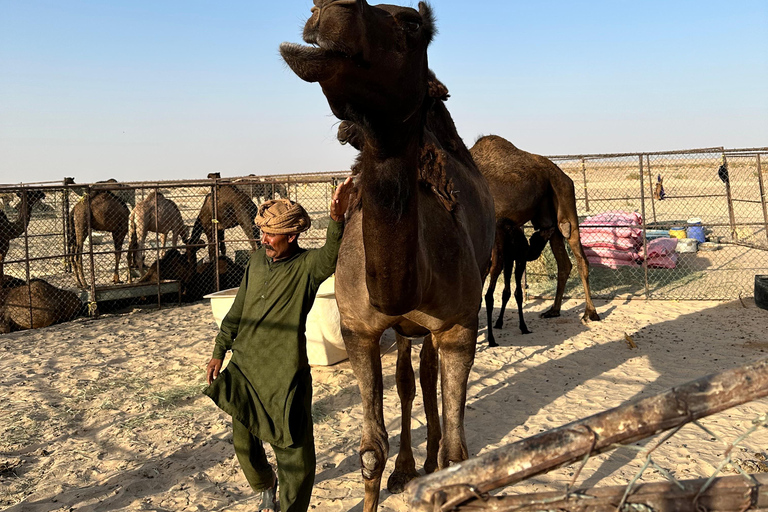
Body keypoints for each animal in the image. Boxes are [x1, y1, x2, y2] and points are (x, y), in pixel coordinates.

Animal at [280, 2, 496, 510]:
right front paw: (392, 469)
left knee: (427, 374)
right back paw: (407, 468)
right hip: (400, 330)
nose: (325, 10)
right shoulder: (358, 329)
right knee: (407, 379)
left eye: (411, 24)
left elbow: (459, 454)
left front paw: (441, 465)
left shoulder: (459, 327)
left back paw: (428, 461)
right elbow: (369, 450)